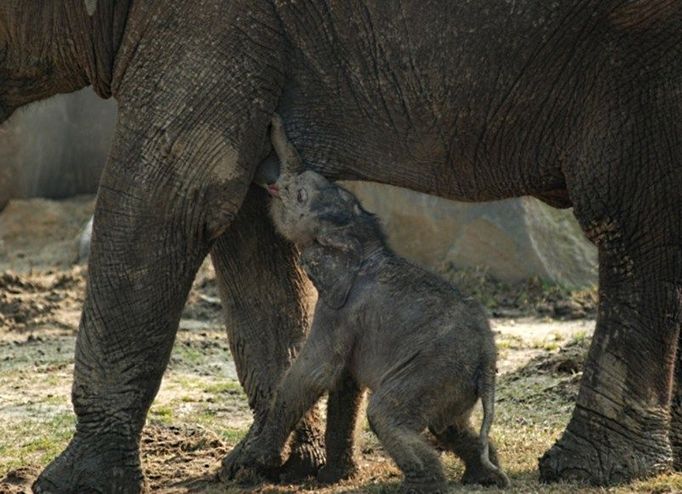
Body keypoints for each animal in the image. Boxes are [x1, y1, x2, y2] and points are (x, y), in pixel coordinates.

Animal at [232, 117, 504, 492]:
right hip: (455, 382)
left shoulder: (340, 308)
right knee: (449, 424)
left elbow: (315, 373)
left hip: (432, 369)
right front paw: (330, 476)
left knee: (387, 414)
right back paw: (487, 478)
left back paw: (419, 485)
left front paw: (256, 459)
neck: (361, 238)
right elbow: (345, 381)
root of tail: (489, 357)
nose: (273, 121)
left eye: (300, 195)